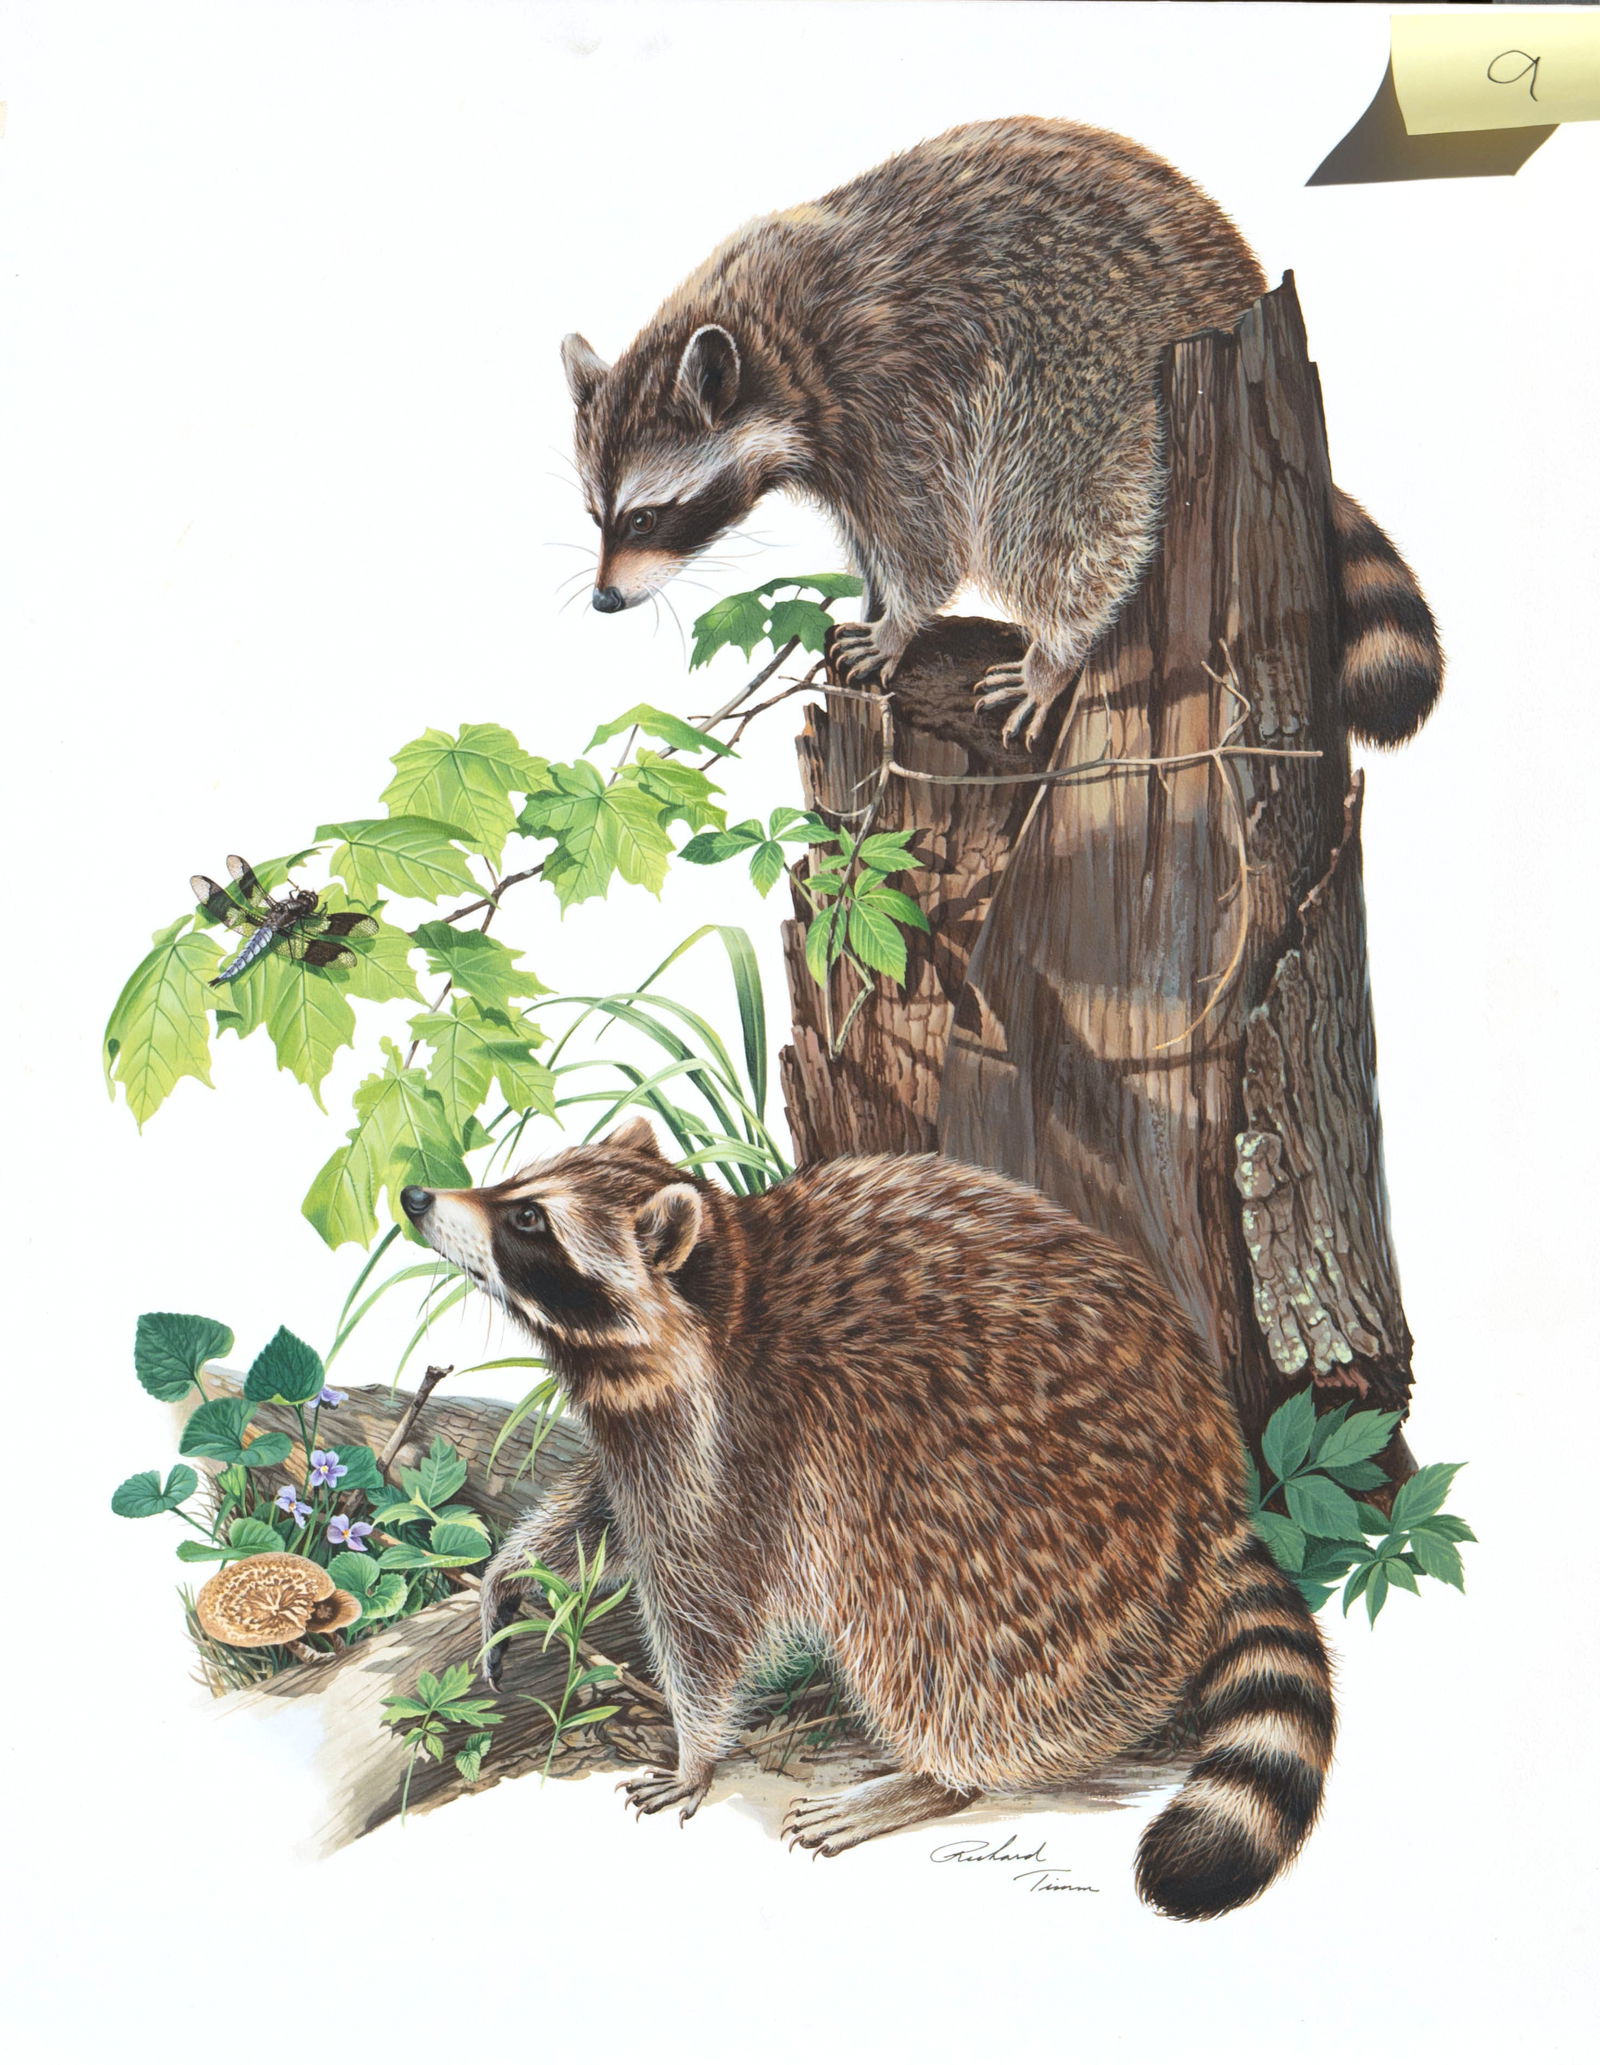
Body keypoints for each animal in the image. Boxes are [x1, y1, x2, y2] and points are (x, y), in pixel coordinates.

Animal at [401, 1121, 1336, 1920]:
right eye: (513, 1183)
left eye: (527, 1219)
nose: (413, 1195)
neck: (715, 1304)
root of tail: (1213, 1502)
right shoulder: (654, 1424)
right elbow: (602, 1508)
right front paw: (517, 1565)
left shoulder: (747, 1441)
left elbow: (706, 1603)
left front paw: (695, 1748)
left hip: (1018, 1529)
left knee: (921, 1625)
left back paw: (937, 1774)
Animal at [560, 115, 1442, 749]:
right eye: (598, 517)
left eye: (646, 518)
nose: (603, 599)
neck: (771, 340)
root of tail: (1239, 282)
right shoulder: (840, 435)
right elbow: (872, 531)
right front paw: (877, 602)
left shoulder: (890, 389)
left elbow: (927, 537)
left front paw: (902, 623)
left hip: (1092, 371)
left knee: (1058, 512)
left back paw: (1056, 649)